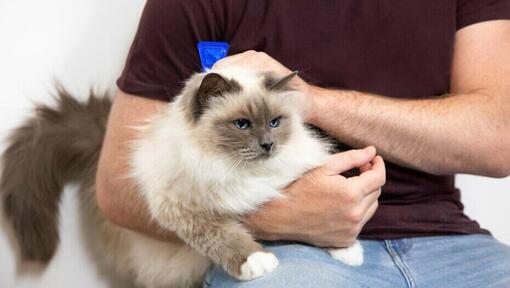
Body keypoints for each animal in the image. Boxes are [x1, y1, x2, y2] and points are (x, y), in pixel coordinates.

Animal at [0, 68, 362, 288]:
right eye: (242, 124)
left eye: (275, 122)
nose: (268, 145)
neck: (239, 170)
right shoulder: (184, 210)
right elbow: (226, 237)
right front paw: (257, 261)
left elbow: (325, 227)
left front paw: (349, 253)